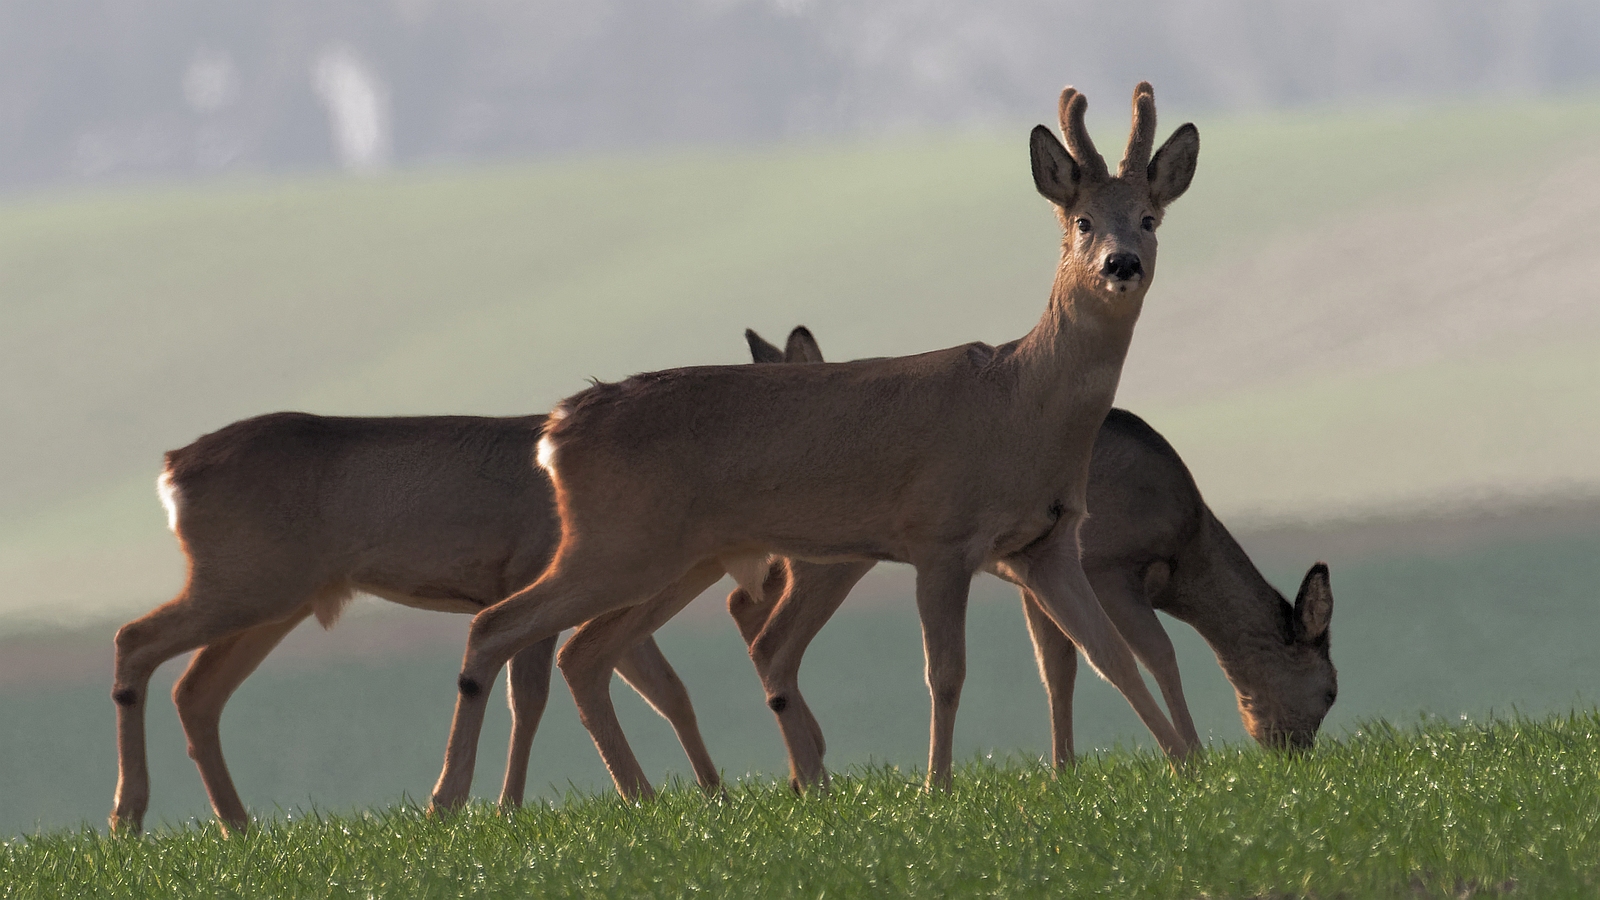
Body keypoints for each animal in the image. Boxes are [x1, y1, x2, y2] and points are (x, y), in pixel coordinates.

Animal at [432, 80, 1203, 800]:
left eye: (1149, 217)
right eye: (1081, 220)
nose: (1121, 264)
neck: (1020, 404)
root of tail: (557, 430)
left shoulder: (1047, 542)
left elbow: (1111, 656)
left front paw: (1187, 767)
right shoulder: (940, 533)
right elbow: (945, 673)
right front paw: (936, 788)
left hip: (674, 558)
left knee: (583, 653)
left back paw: (642, 800)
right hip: (617, 542)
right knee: (498, 626)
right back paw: (451, 801)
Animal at [732, 325, 1337, 787]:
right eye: (1331, 689)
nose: (1294, 753)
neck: (1186, 547)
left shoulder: (1031, 572)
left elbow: (1059, 668)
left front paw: (1062, 773)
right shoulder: (1109, 567)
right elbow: (1157, 653)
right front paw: (1194, 758)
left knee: (749, 612)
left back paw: (803, 776)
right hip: (830, 557)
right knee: (767, 634)